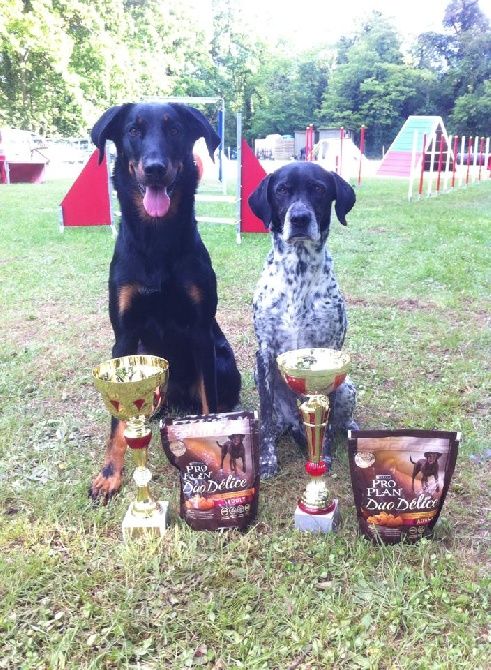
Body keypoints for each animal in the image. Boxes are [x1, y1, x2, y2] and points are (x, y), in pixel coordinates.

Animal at [90, 103, 242, 504]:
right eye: (133, 130)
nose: (155, 167)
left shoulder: (201, 331)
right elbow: (117, 424)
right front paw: (109, 474)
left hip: (224, 359)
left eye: (175, 130)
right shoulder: (125, 337)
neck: (157, 241)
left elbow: (209, 406)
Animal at [252, 160, 360, 480]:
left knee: (340, 420)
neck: (297, 273)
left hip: (348, 386)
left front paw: (323, 456)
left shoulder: (330, 352)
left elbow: (327, 424)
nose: (299, 218)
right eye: (281, 190)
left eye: (318, 189)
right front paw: (266, 460)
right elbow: (264, 416)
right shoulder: (264, 353)